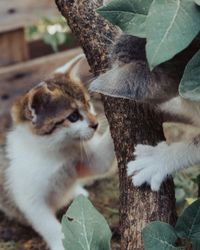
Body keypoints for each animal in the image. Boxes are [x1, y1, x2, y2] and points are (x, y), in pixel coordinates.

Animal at [2, 54, 115, 250]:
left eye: (88, 104)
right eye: (73, 117)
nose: (95, 124)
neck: (57, 151)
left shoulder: (87, 158)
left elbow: (102, 163)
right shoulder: (31, 201)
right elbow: (48, 225)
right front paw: (60, 242)